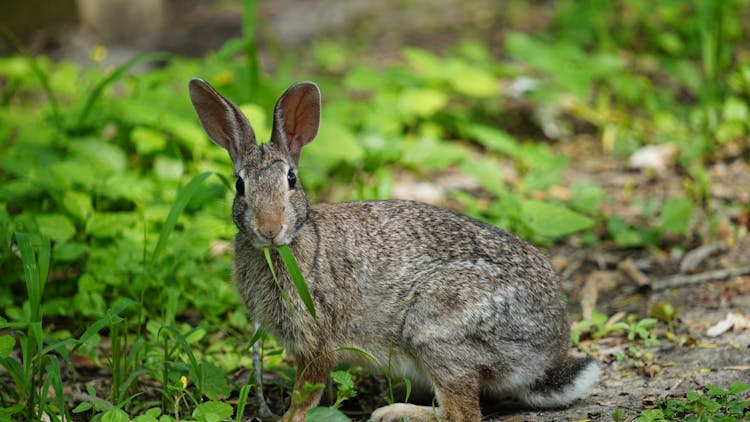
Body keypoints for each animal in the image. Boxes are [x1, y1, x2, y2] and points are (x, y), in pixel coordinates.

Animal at [191, 76, 604, 422]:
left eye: (291, 179)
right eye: (239, 186)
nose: (270, 229)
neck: (291, 245)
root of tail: (546, 354)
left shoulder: (317, 339)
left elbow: (306, 392)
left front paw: (289, 419)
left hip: (437, 328)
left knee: (462, 413)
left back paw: (392, 412)